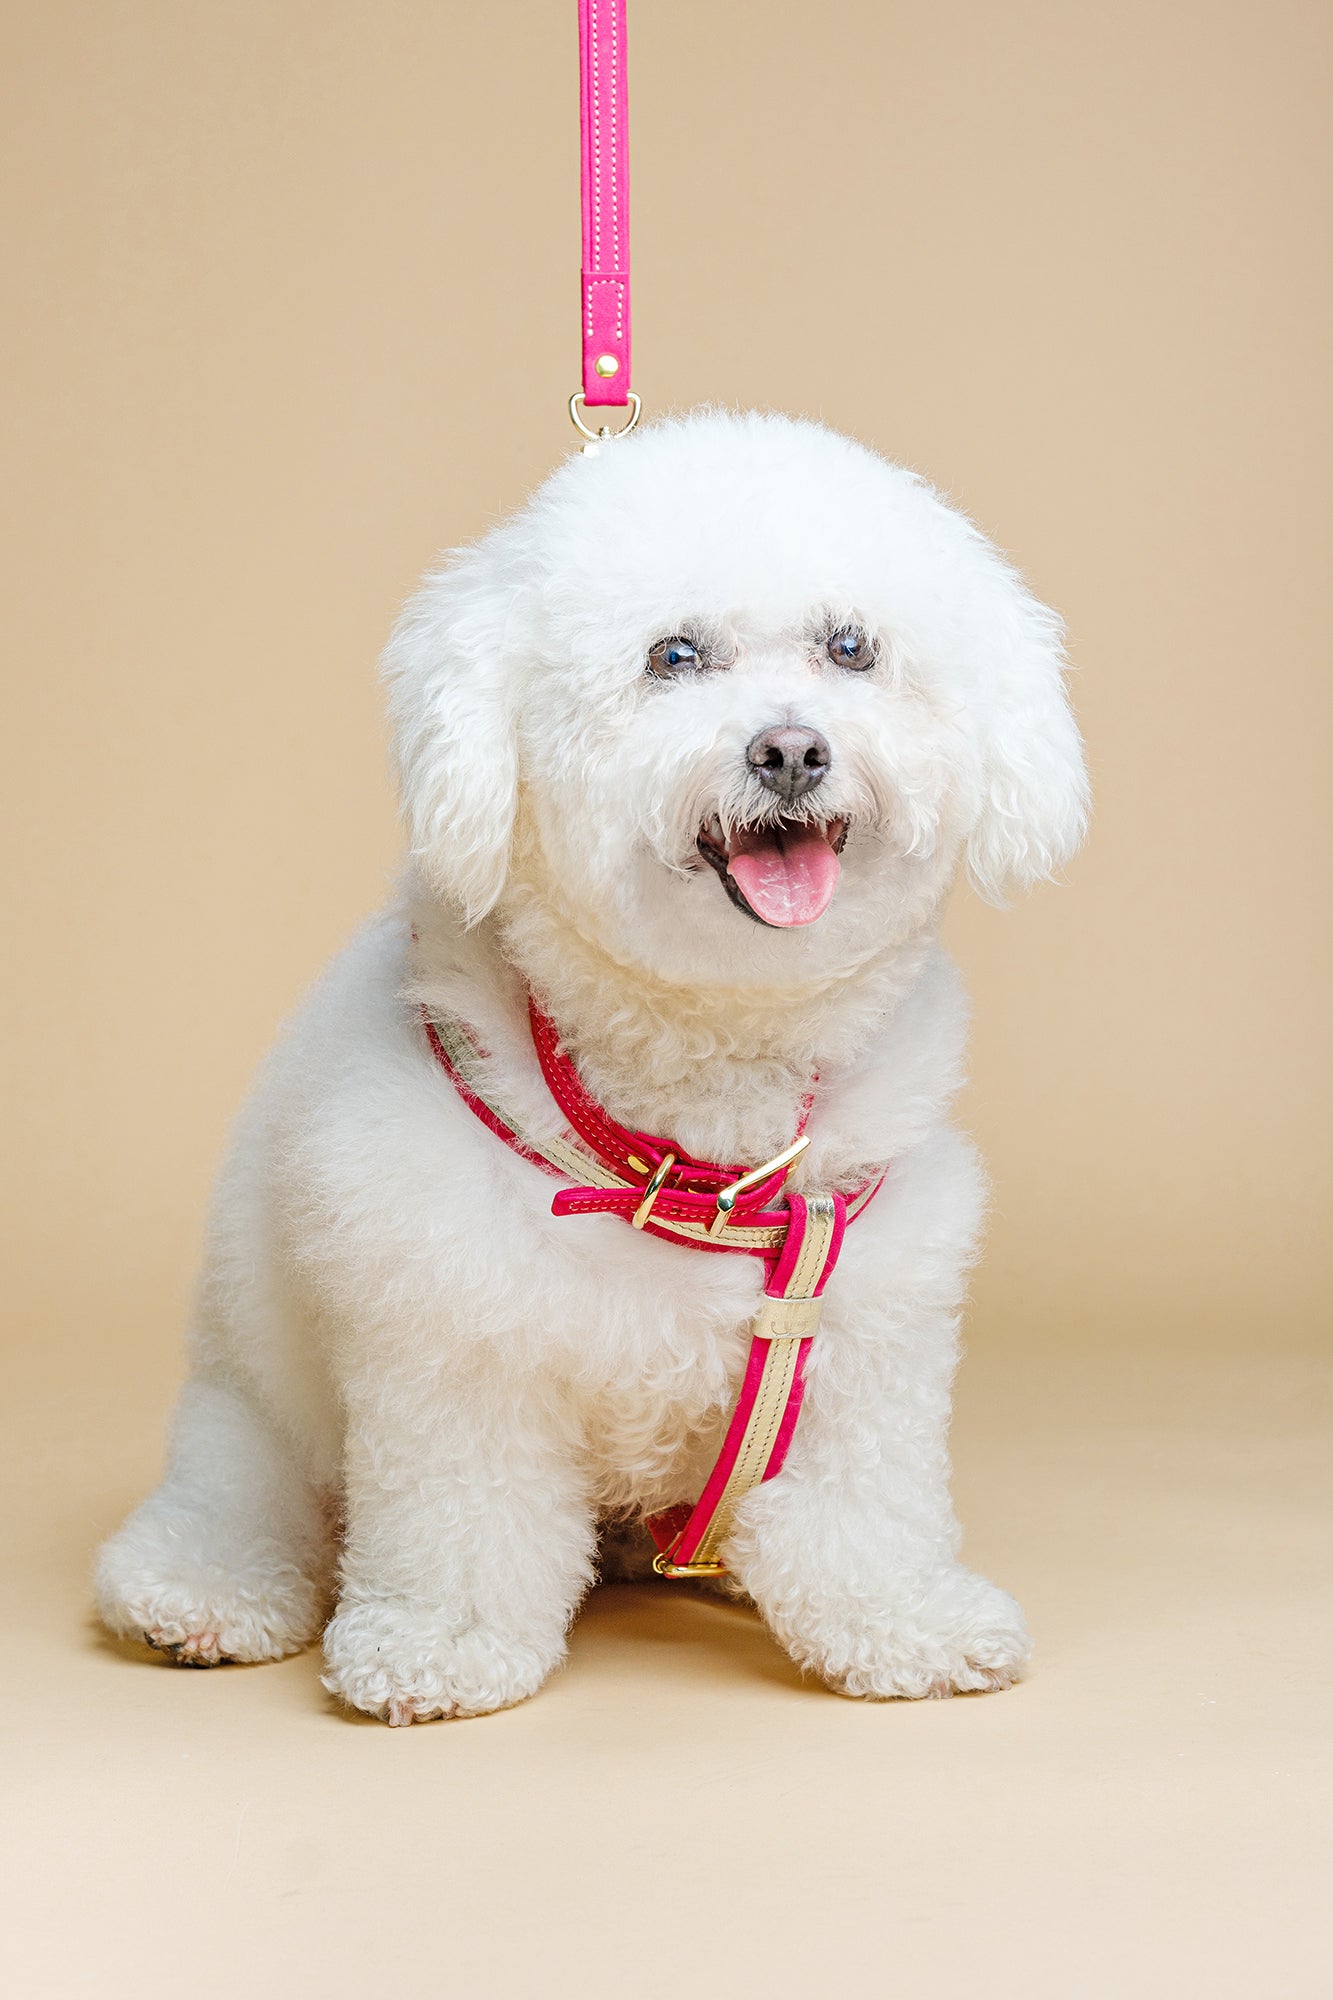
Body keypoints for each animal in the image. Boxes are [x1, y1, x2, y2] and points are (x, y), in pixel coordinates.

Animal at [98, 410, 1088, 1720]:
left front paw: (900, 1619)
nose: (790, 749)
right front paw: (441, 1641)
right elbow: (464, 1516)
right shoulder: (454, 1328)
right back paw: (200, 1590)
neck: (693, 1138)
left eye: (851, 647)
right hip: (252, 1405)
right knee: (245, 1492)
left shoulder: (856, 1322)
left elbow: (862, 1500)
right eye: (673, 654)